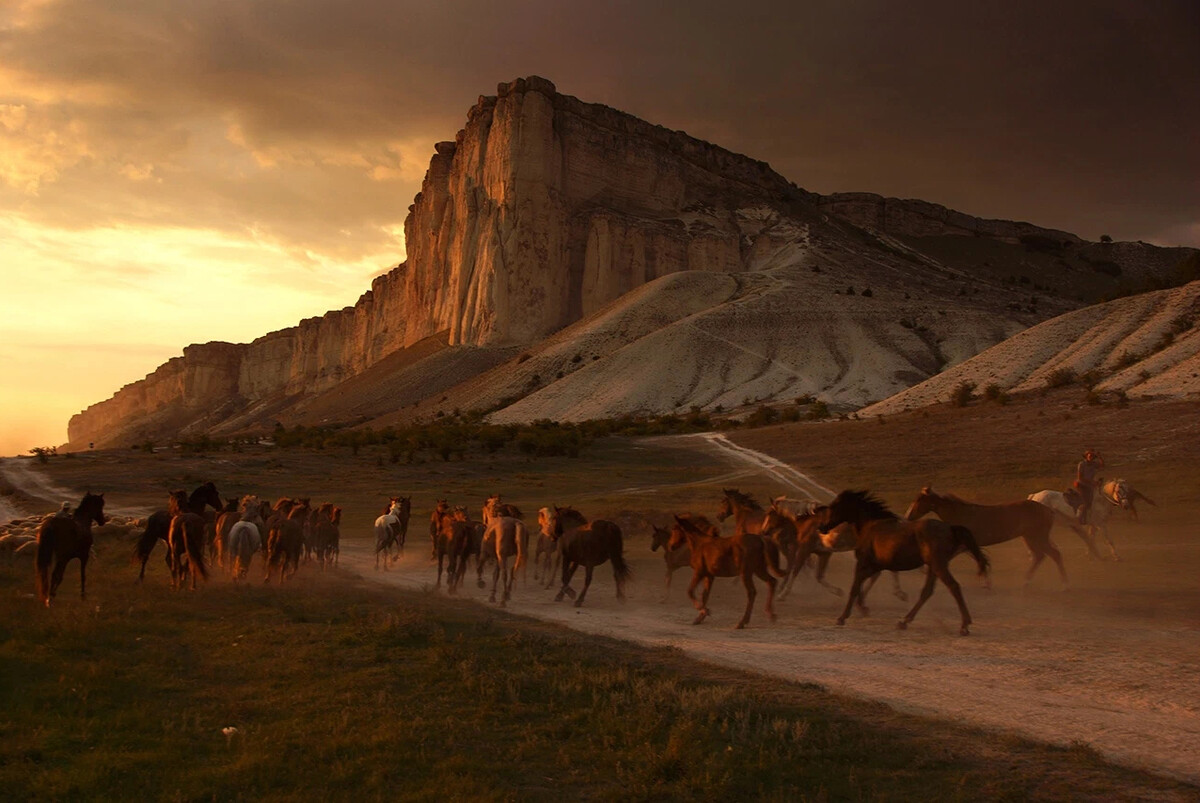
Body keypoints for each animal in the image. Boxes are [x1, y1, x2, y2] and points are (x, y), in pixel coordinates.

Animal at [820, 489, 988, 633]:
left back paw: (964, 626)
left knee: (953, 586)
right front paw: (862, 607)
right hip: (934, 566)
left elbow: (855, 587)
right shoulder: (876, 566)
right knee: (927, 592)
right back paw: (904, 622)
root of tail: (950, 529)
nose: (822, 528)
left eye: (834, 507)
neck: (871, 526)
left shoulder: (863, 563)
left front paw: (842, 617)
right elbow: (862, 585)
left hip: (939, 565)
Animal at [902, 484, 1065, 585]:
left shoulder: (964, 545)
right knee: (1040, 556)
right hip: (1029, 538)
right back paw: (1026, 582)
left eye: (919, 500)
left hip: (1038, 537)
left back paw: (1064, 585)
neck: (962, 514)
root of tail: (1048, 510)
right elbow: (980, 559)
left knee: (1054, 555)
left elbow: (979, 560)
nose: (907, 516)